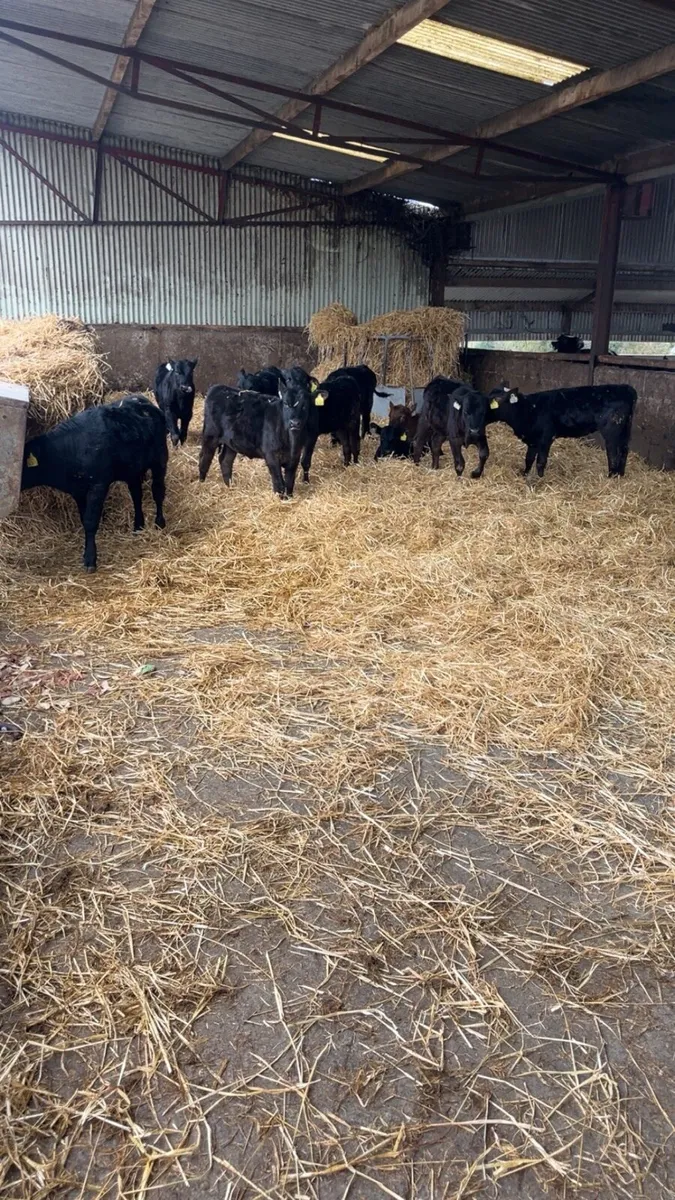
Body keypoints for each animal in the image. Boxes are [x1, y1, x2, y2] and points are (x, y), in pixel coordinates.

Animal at [21, 396, 167, 572]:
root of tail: (140, 399)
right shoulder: (78, 491)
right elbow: (84, 519)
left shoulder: (98, 485)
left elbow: (90, 521)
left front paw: (90, 559)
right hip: (132, 470)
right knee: (136, 496)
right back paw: (138, 526)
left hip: (160, 459)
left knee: (158, 491)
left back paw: (159, 522)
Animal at [488, 382, 636, 478]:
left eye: (498, 399)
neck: (529, 409)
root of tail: (626, 388)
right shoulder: (533, 440)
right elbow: (528, 459)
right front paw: (524, 474)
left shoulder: (546, 438)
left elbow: (541, 461)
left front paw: (539, 480)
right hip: (626, 429)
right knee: (624, 450)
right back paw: (620, 475)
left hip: (612, 430)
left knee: (613, 454)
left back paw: (611, 477)